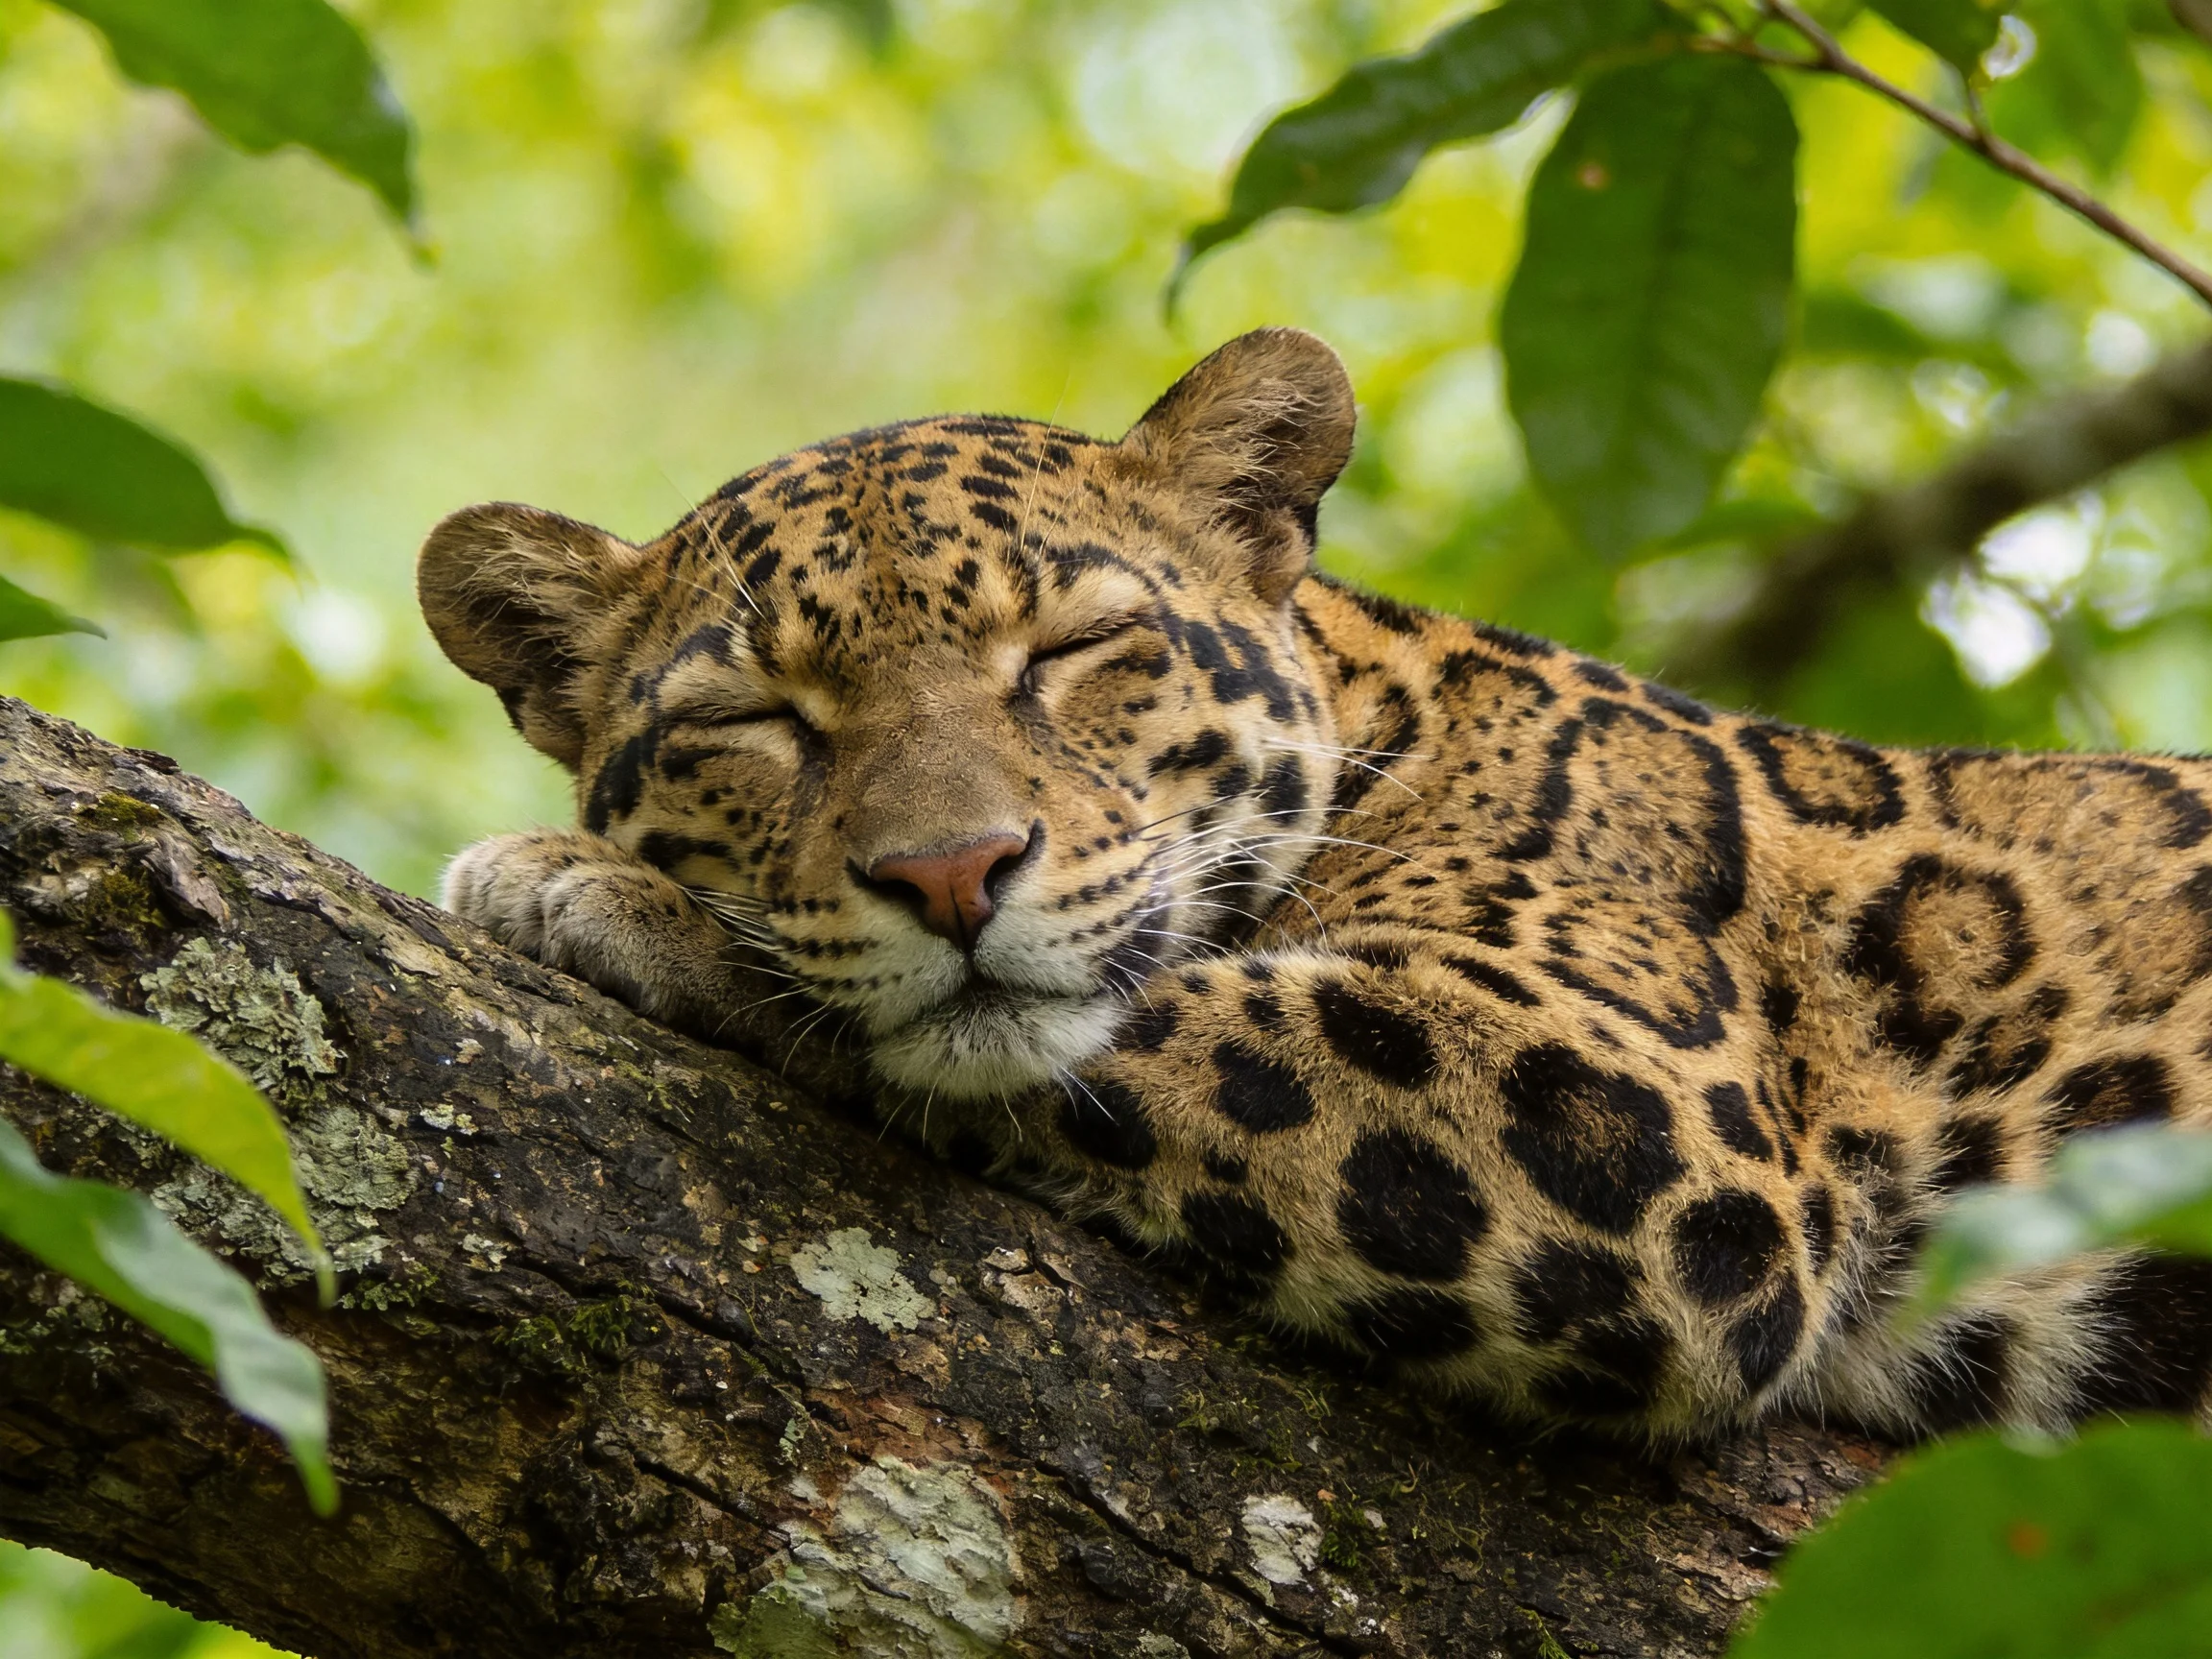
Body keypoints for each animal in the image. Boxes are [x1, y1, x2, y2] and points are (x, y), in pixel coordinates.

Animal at [419, 327, 2212, 1442]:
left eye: (1072, 649)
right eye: (753, 721)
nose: (950, 873)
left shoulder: (1641, 1103)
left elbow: (1078, 1030)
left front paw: (592, 895)